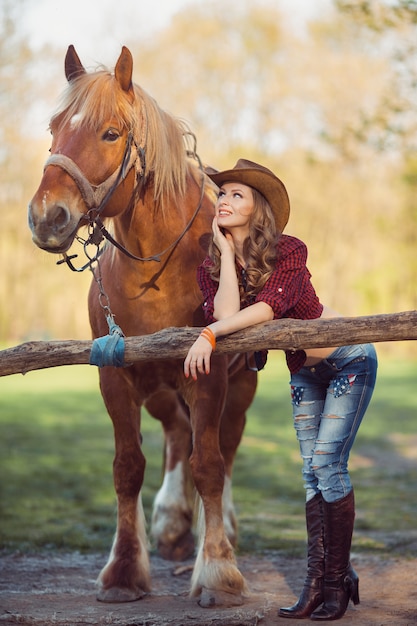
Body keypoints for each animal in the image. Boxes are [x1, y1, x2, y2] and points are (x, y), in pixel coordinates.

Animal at [27, 45, 256, 604]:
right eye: (54, 128)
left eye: (111, 133)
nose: (47, 217)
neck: (159, 268)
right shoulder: (117, 377)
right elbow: (128, 468)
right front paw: (125, 570)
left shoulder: (210, 374)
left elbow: (210, 465)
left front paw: (218, 569)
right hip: (160, 389)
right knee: (177, 433)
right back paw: (173, 523)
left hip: (241, 384)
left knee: (226, 445)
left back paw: (219, 528)